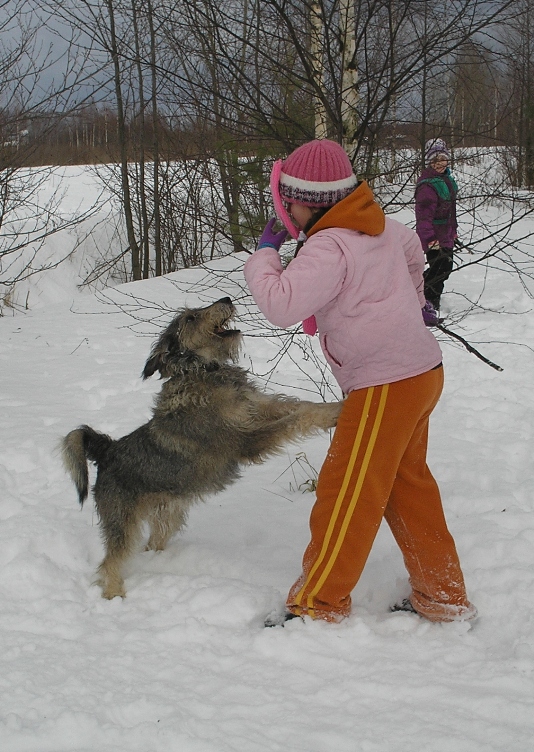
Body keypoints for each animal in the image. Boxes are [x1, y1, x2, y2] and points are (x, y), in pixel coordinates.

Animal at [60, 296, 342, 596]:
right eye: (190, 318)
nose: (226, 298)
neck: (204, 370)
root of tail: (107, 451)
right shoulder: (245, 440)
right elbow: (297, 418)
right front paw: (337, 411)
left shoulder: (259, 408)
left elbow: (302, 407)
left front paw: (334, 406)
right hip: (122, 521)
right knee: (110, 562)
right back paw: (114, 594)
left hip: (167, 514)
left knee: (152, 542)